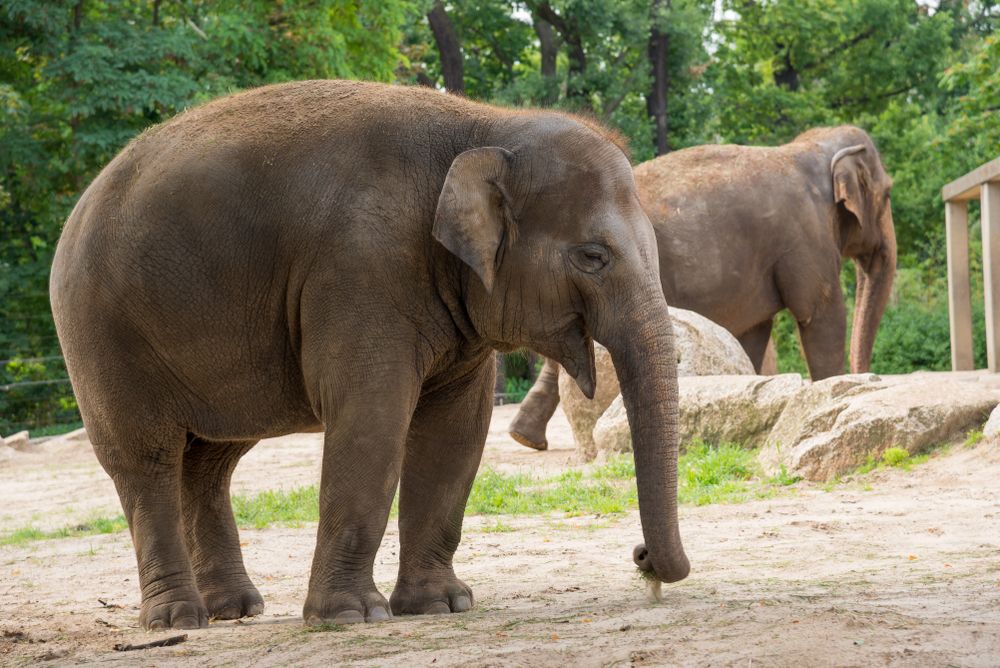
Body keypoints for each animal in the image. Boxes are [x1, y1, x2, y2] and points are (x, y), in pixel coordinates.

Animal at [50, 81, 692, 628]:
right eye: (593, 257)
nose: (643, 559)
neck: (484, 124)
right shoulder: (361, 269)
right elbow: (372, 419)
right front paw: (350, 617)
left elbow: (457, 433)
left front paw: (442, 606)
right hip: (101, 334)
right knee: (147, 459)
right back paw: (176, 621)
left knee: (210, 462)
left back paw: (234, 610)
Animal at [512, 125, 896, 448]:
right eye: (888, 193)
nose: (868, 377)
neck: (810, 147)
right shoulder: (807, 236)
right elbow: (820, 313)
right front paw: (831, 391)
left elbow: (754, 334)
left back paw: (525, 437)